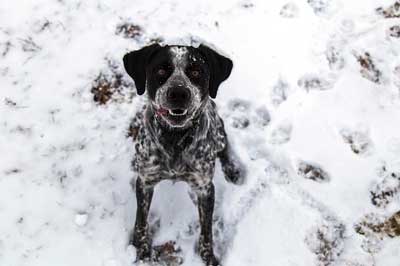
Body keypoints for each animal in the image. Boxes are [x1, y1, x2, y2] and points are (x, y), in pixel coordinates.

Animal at [123, 42, 245, 264]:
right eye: (161, 70)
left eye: (196, 71)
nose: (178, 93)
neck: (175, 138)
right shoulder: (145, 181)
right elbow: (141, 220)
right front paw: (141, 249)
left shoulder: (205, 188)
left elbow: (207, 231)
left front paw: (208, 257)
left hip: (219, 133)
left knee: (225, 146)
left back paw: (232, 169)